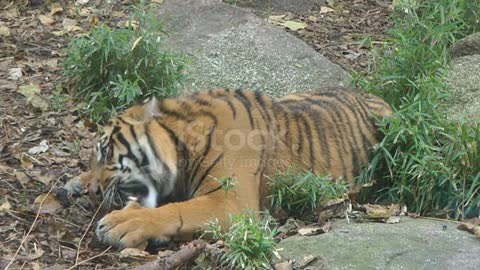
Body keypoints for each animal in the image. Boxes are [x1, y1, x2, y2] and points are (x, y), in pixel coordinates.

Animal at [63, 86, 392, 249]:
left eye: (106, 152)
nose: (94, 191)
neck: (183, 139)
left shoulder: (231, 202)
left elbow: (176, 211)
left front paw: (123, 223)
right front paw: (79, 181)